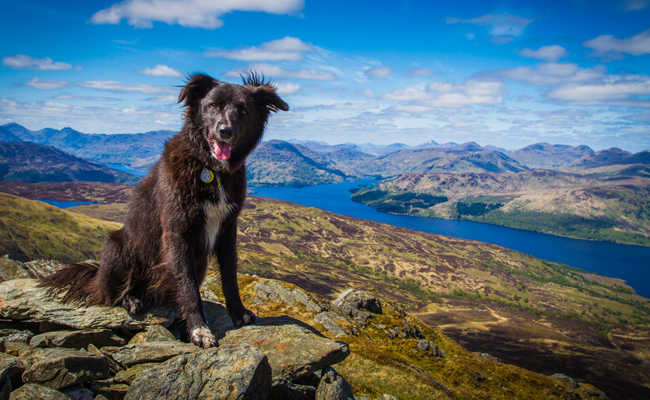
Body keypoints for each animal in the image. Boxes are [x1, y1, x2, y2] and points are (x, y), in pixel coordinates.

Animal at [42, 72, 288, 346]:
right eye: (213, 105)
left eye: (244, 111)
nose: (225, 131)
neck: (209, 168)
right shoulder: (177, 233)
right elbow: (188, 287)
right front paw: (199, 328)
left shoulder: (227, 230)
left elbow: (230, 276)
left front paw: (238, 312)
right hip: (117, 245)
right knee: (111, 292)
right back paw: (130, 298)